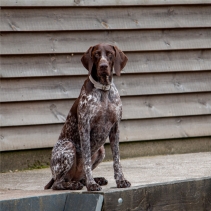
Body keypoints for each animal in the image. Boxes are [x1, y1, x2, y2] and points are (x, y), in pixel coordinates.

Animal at [44, 42, 130, 191]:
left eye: (110, 54)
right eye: (96, 54)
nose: (103, 66)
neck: (103, 90)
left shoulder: (115, 128)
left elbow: (117, 160)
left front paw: (121, 180)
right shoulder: (85, 127)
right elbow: (87, 161)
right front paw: (91, 184)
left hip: (101, 150)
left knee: (79, 176)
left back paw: (95, 179)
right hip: (68, 147)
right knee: (58, 183)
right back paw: (75, 184)